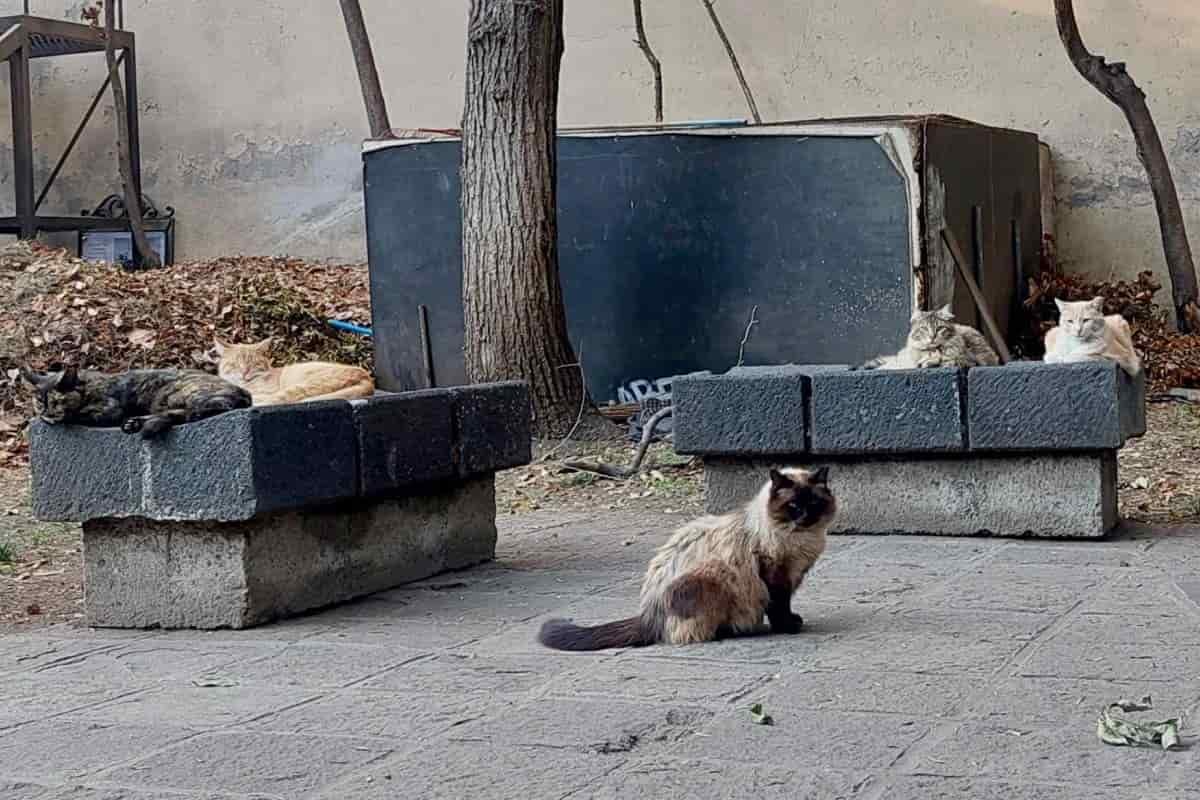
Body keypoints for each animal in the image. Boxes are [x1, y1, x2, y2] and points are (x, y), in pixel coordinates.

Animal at [21, 364, 249, 438]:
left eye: (56, 402)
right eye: (40, 403)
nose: (46, 413)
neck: (87, 387)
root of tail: (243, 391)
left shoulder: (109, 409)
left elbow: (76, 415)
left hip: (174, 393)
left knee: (198, 411)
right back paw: (135, 423)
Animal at [542, 470, 835, 652]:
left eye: (815, 504)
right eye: (793, 506)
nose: (806, 517)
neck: (800, 539)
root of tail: (649, 613)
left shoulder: (793, 575)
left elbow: (785, 606)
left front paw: (792, 621)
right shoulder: (775, 577)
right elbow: (779, 608)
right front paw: (788, 627)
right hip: (714, 574)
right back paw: (731, 630)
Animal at [859, 304, 998, 371]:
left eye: (939, 328)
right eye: (924, 329)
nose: (932, 336)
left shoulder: (971, 360)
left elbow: (946, 361)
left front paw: (930, 362)